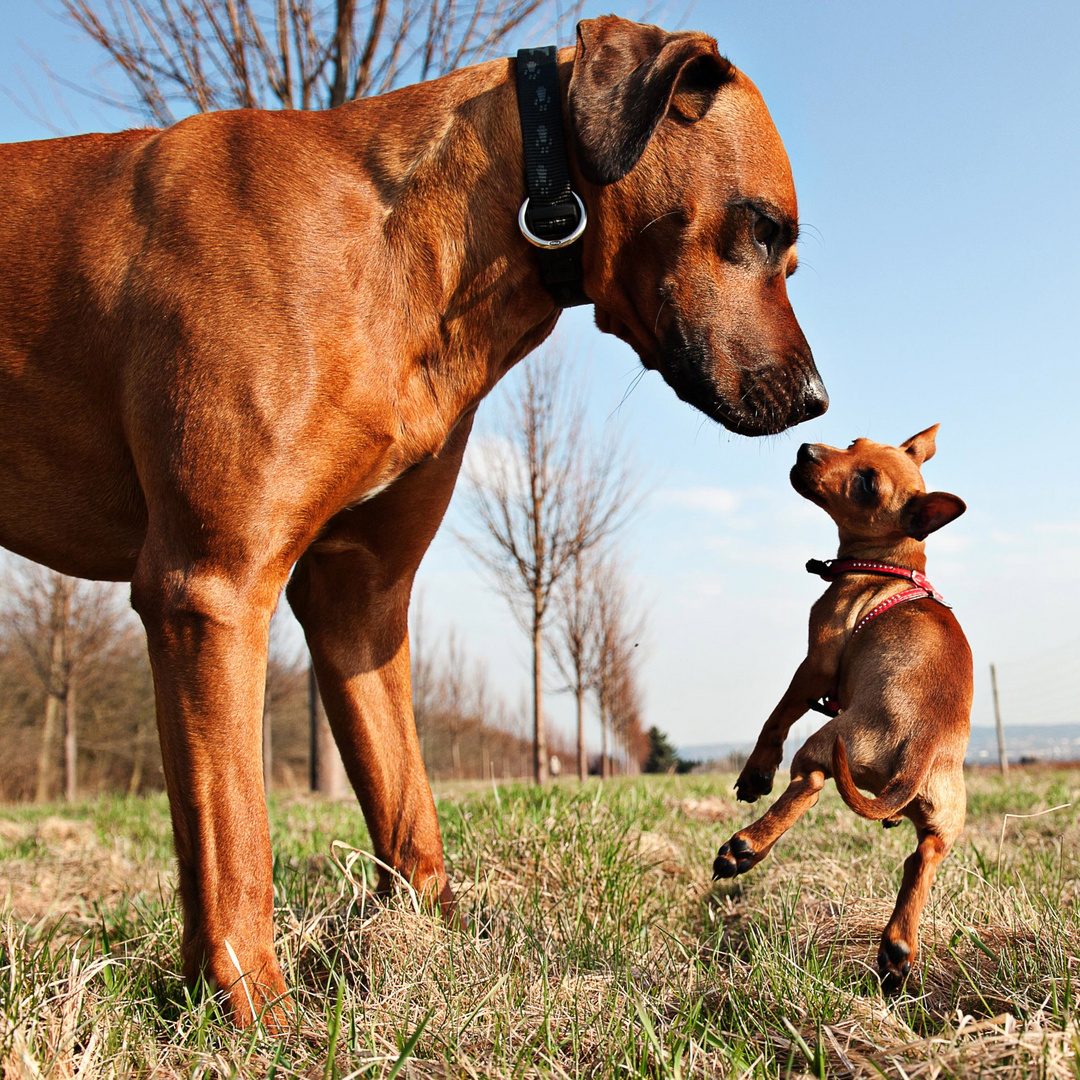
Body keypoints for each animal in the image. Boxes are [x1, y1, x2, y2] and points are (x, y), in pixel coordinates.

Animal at [0, 16, 825, 1019]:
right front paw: (257, 1011)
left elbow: (405, 798)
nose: (819, 401)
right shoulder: (210, 589)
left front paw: (435, 944)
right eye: (764, 228)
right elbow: (234, 840)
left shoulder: (359, 599)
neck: (404, 238)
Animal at [712, 425, 976, 989]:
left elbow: (777, 717)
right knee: (922, 859)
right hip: (946, 820)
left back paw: (746, 846)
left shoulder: (815, 665)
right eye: (856, 442)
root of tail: (923, 745)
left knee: (808, 783)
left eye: (867, 484)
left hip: (828, 743)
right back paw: (896, 950)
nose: (804, 449)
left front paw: (755, 773)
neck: (889, 566)